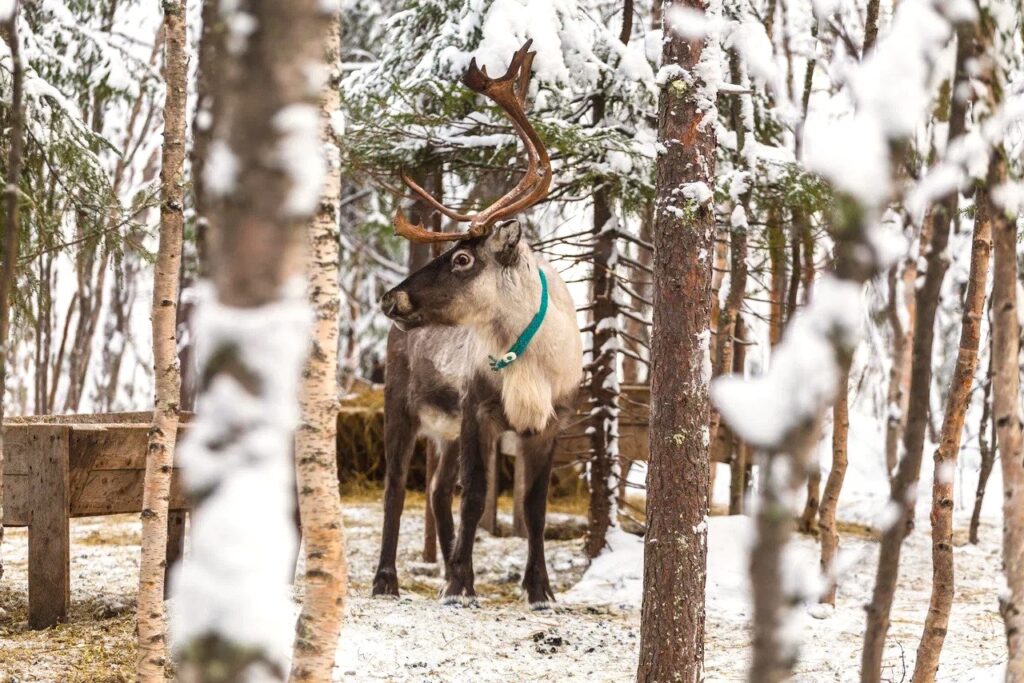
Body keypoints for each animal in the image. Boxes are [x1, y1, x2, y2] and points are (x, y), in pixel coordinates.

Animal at [372, 41, 583, 609]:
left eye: (463, 259)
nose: (390, 297)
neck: (531, 360)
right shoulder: (475, 411)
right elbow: (476, 496)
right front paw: (460, 586)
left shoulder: (551, 422)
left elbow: (533, 508)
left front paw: (540, 590)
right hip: (401, 405)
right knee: (398, 487)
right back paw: (388, 579)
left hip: (442, 431)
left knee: (437, 491)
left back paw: (446, 563)